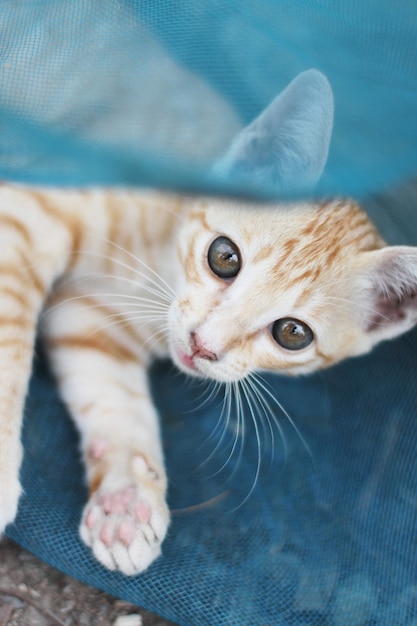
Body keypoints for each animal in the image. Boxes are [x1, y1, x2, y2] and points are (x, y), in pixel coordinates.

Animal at [0, 70, 416, 572]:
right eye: (224, 256)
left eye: (293, 334)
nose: (204, 345)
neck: (159, 258)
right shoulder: (25, 214)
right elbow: (8, 344)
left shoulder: (92, 320)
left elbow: (120, 403)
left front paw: (127, 501)